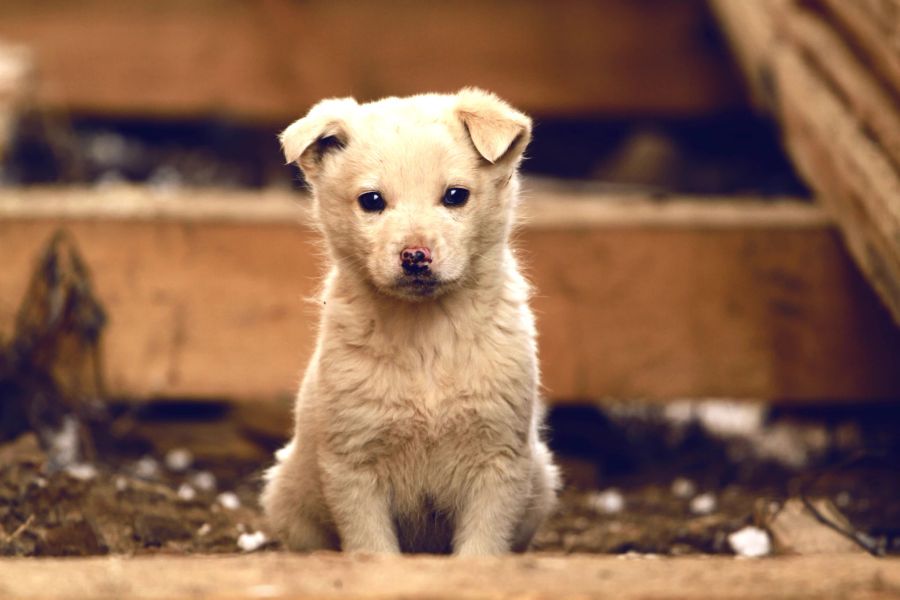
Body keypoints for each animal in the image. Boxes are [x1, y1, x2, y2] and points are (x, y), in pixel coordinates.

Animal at [256, 86, 560, 556]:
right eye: (372, 201)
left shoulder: (499, 460)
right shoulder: (353, 463)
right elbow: (373, 549)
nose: (415, 256)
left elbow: (481, 549)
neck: (425, 337)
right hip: (287, 493)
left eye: (455, 195)